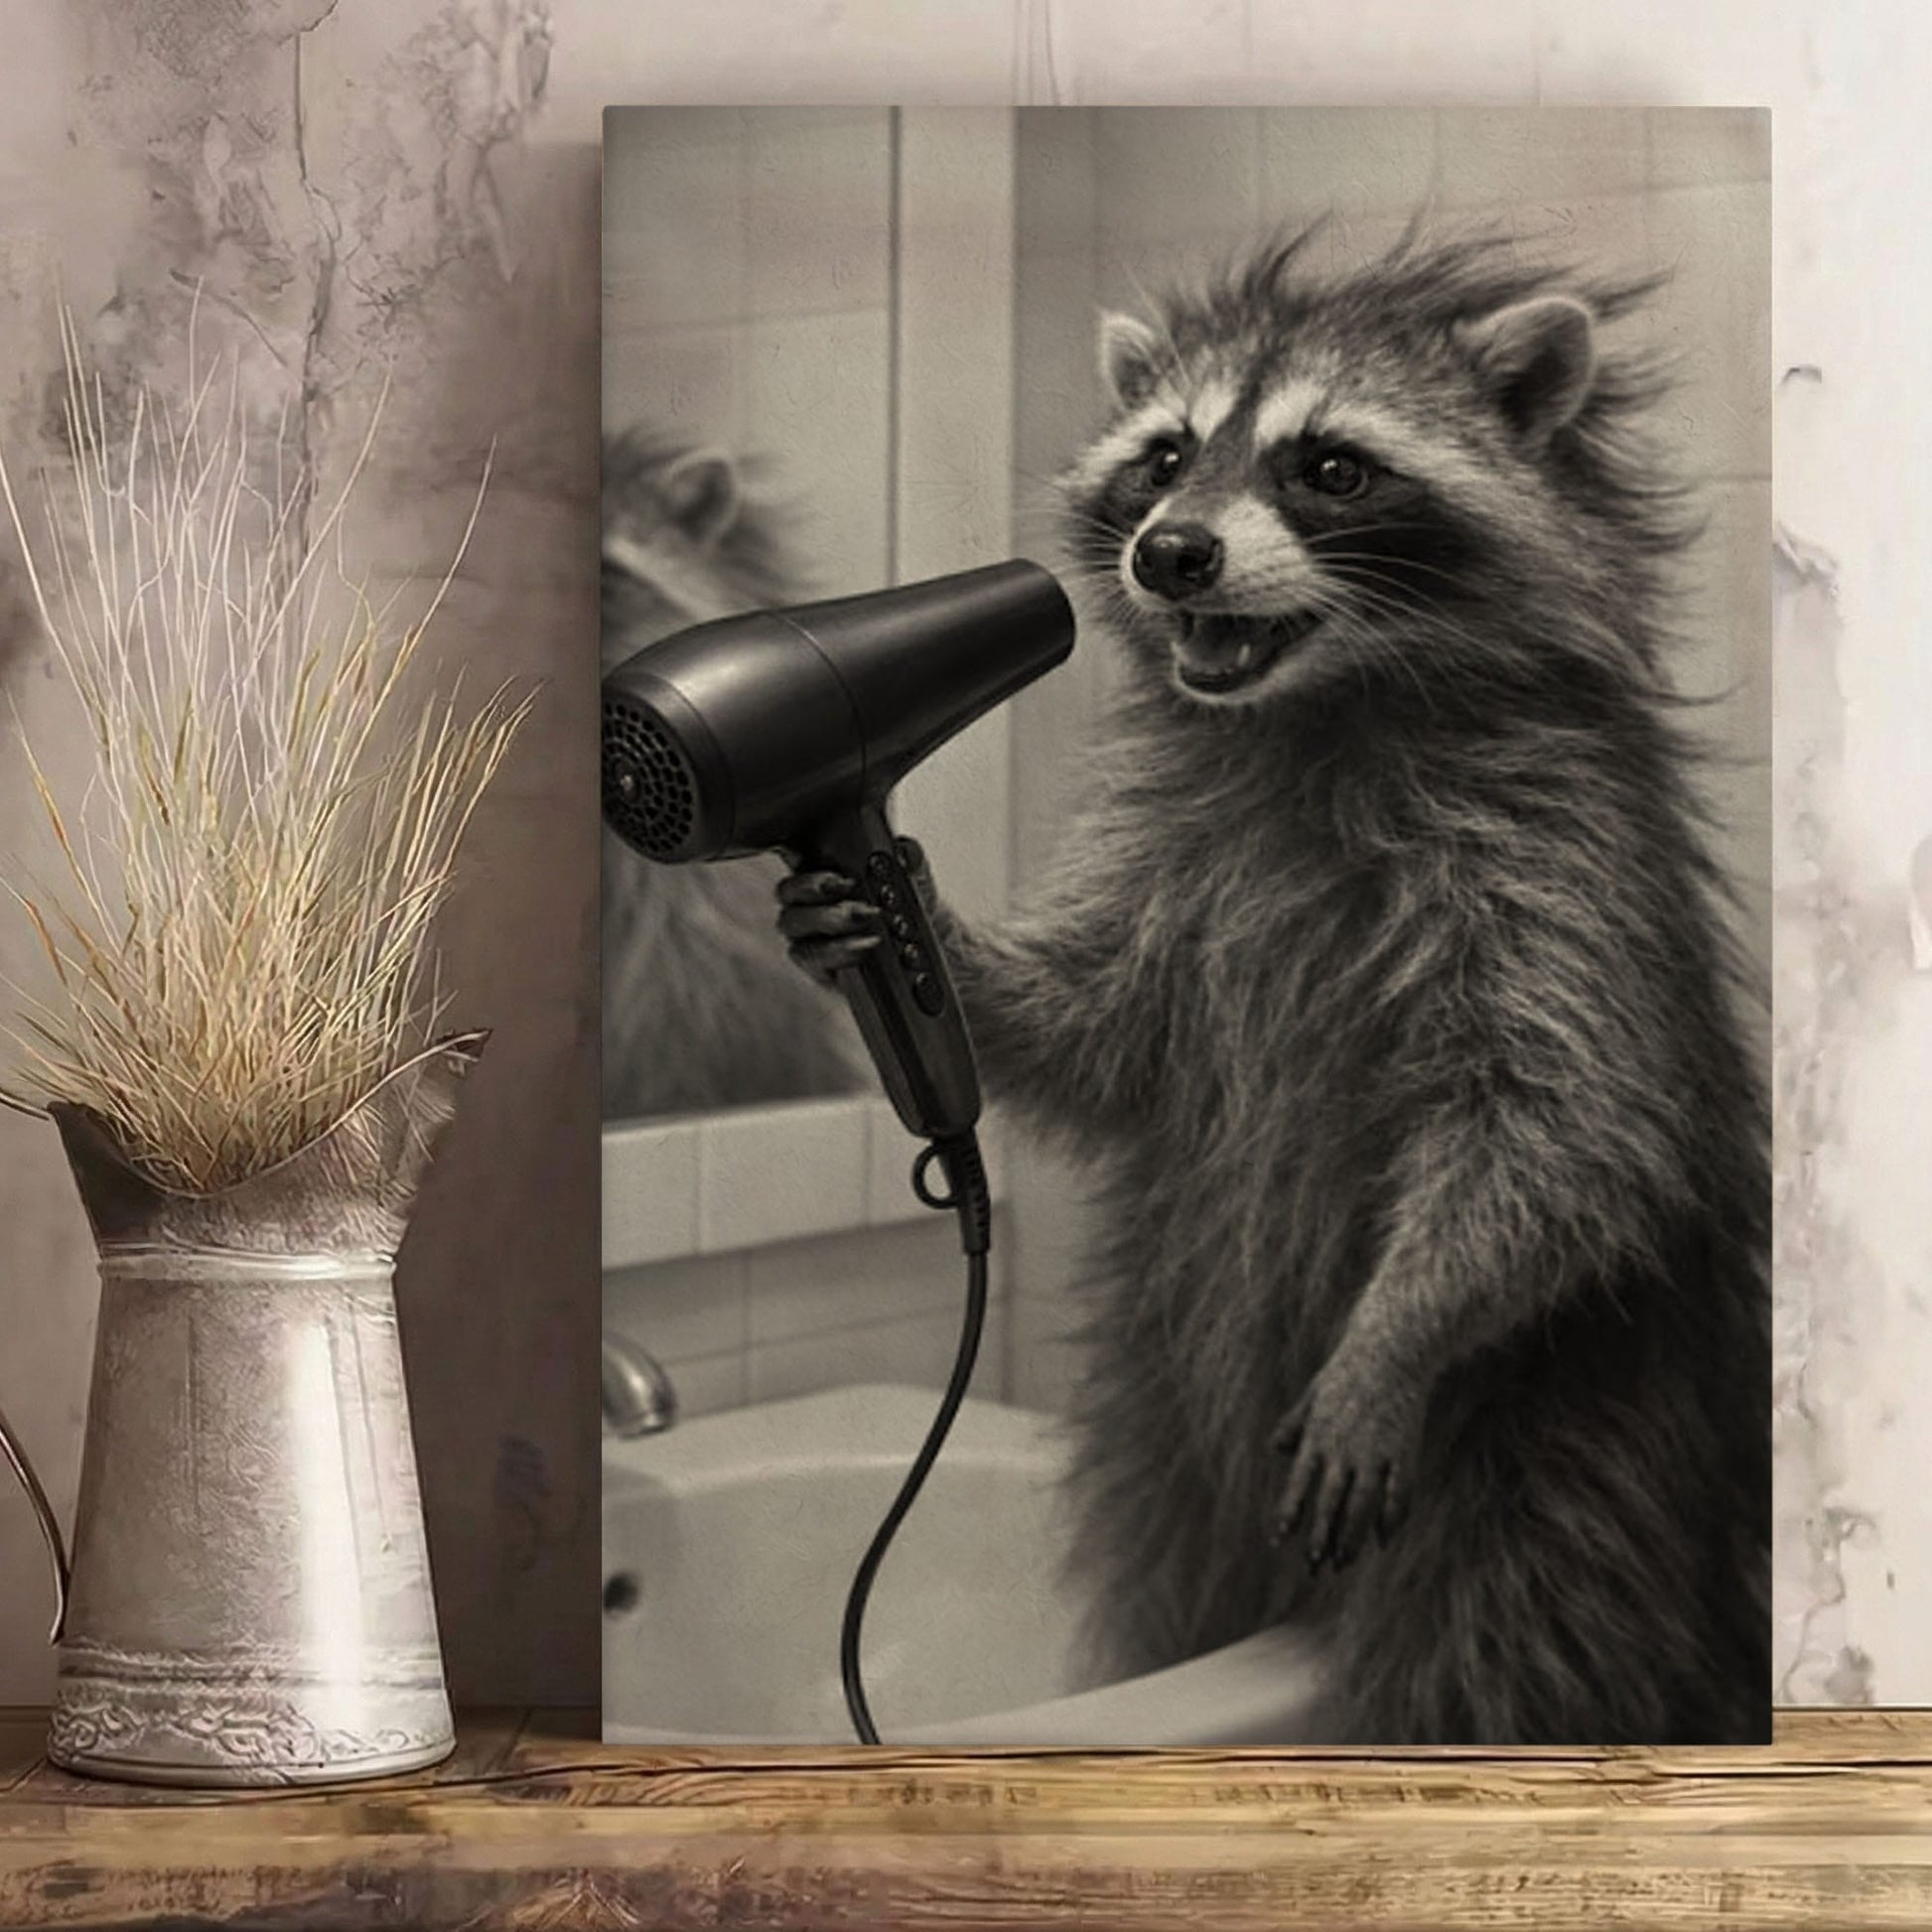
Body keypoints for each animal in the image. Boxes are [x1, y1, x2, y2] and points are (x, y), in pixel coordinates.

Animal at [783, 222, 1771, 1745]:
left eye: (1331, 465)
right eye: (1163, 456)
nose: (1171, 554)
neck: (1309, 704)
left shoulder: (1558, 855)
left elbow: (1559, 1126)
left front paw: (1398, 1329)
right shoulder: (1174, 843)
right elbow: (1102, 1029)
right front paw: (912, 926)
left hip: (1561, 1444)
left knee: (1501, 1650)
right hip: (1163, 1426)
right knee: (1170, 1583)